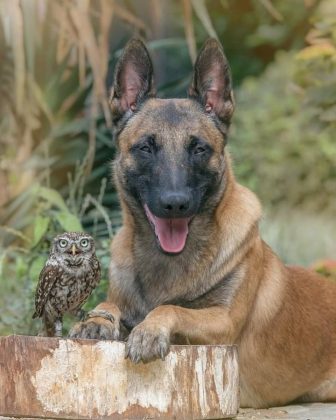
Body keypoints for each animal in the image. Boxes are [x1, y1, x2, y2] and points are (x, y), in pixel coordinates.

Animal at [69, 38, 336, 406]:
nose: (175, 204)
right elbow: (111, 305)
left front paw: (149, 331)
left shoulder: (222, 322)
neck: (167, 264)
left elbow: (172, 309)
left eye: (199, 149)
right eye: (145, 148)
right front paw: (97, 318)